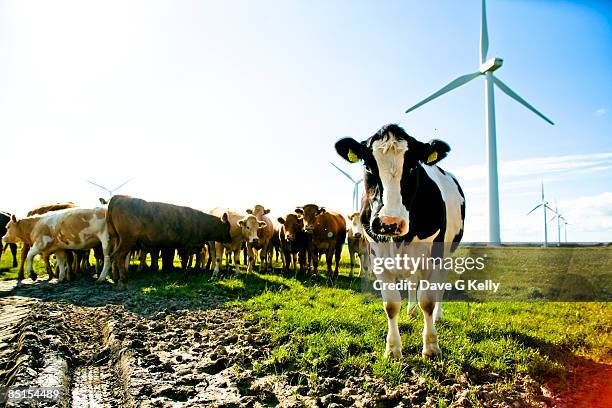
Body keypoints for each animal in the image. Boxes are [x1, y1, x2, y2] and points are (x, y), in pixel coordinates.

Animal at [334, 122, 464, 358]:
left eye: (413, 167)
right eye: (368, 166)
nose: (389, 222)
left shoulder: (433, 256)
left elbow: (428, 300)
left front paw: (431, 347)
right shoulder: (377, 257)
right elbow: (391, 304)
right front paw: (393, 348)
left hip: (447, 254)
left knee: (438, 287)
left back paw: (437, 317)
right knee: (413, 283)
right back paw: (411, 311)